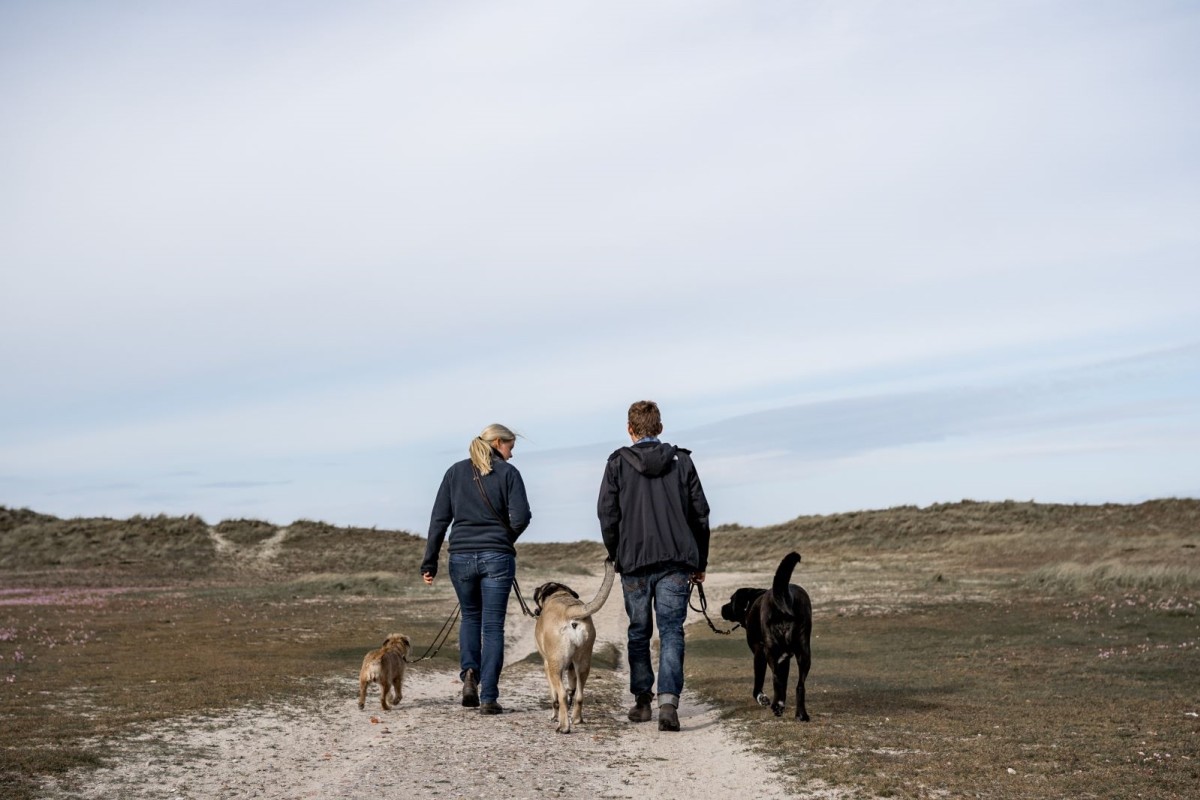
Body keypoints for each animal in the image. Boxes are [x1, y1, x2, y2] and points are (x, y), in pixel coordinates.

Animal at [532, 561, 614, 734]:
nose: (536, 611)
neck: (559, 594)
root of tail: (571, 611)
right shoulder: (570, 667)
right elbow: (572, 690)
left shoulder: (547, 665)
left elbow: (554, 697)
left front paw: (554, 716)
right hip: (583, 663)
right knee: (579, 695)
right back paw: (576, 719)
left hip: (555, 666)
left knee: (561, 695)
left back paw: (564, 726)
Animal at [720, 551, 816, 719]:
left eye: (731, 600)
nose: (721, 608)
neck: (750, 602)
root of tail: (786, 594)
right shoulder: (785, 658)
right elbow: (784, 682)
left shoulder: (759, 652)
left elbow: (759, 682)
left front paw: (762, 698)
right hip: (804, 653)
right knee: (799, 686)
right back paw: (800, 714)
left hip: (771, 651)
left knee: (776, 678)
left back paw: (777, 705)